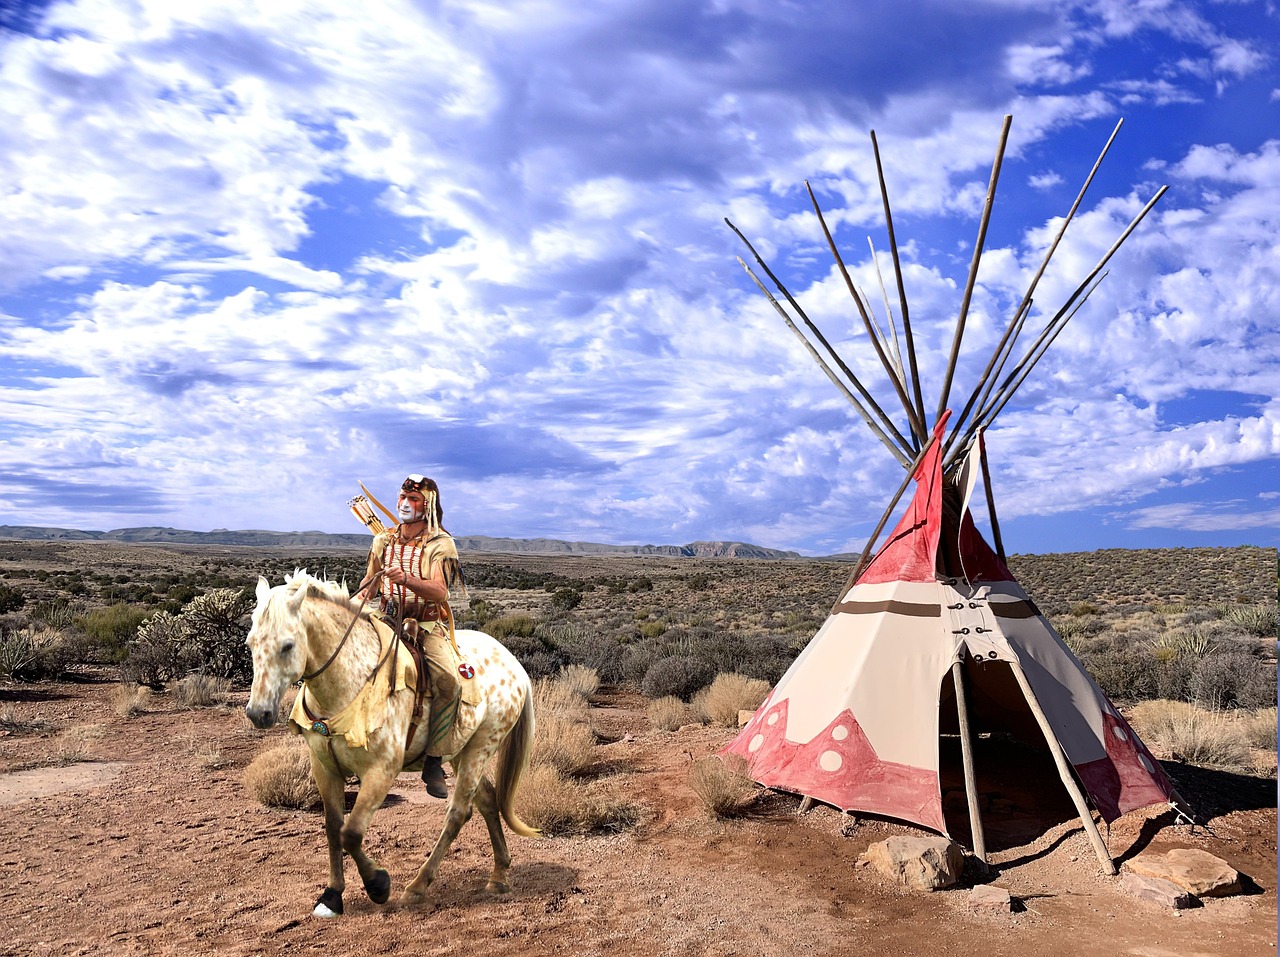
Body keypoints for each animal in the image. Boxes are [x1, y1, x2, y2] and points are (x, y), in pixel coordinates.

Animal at [243, 573, 535, 916]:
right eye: (250, 643)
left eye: (287, 645)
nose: (258, 713)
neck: (349, 683)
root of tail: (515, 664)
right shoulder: (324, 768)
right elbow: (333, 829)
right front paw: (332, 896)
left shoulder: (381, 771)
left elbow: (351, 833)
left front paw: (378, 885)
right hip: (461, 750)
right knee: (488, 800)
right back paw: (499, 875)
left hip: (482, 747)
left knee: (458, 813)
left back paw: (418, 886)